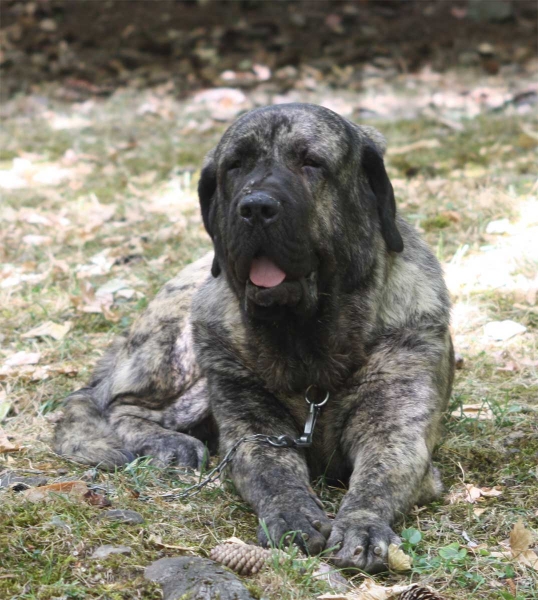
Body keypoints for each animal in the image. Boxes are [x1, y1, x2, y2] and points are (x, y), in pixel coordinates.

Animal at [53, 103, 452, 572]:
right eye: (235, 166)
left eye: (311, 162)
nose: (256, 207)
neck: (308, 343)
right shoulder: (252, 431)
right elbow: (274, 474)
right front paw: (293, 514)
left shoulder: (397, 431)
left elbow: (377, 478)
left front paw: (363, 525)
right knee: (117, 404)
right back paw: (170, 443)